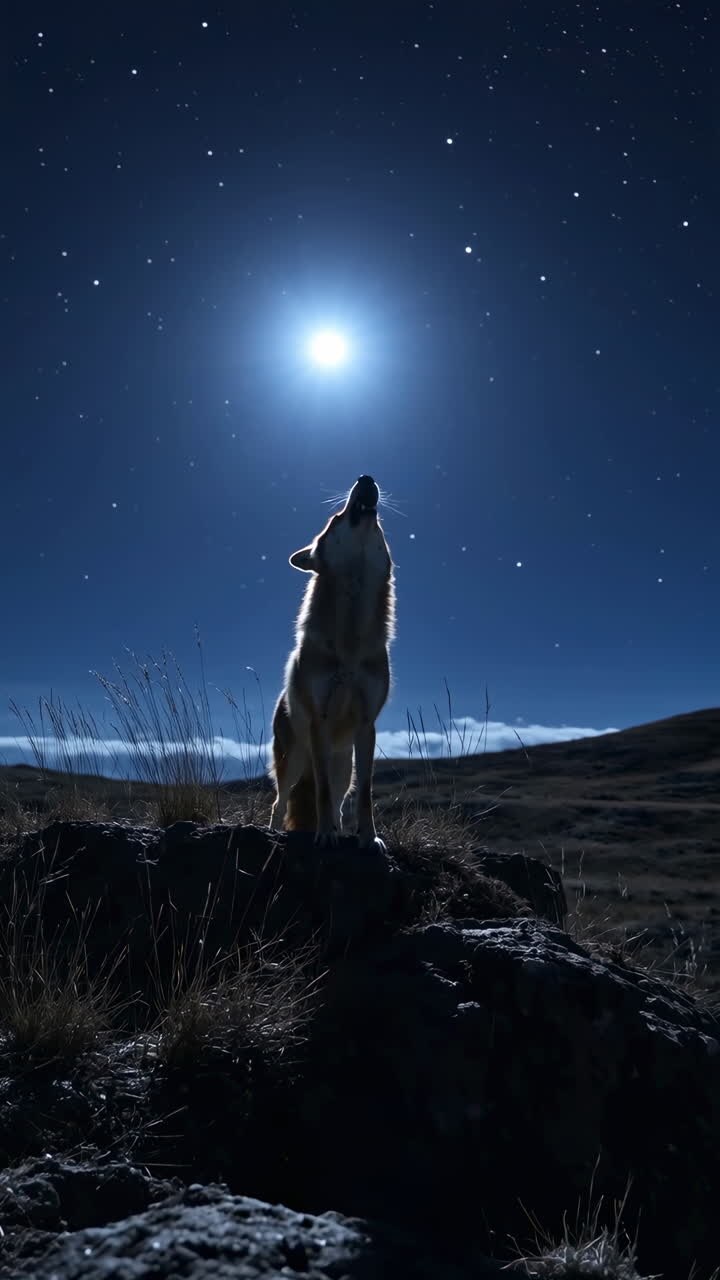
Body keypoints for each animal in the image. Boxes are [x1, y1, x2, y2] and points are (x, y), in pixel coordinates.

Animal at [269, 474, 395, 849]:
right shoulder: (319, 721)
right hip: (294, 760)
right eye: (336, 518)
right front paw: (323, 835)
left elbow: (365, 795)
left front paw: (369, 838)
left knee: (339, 800)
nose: (365, 478)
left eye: (381, 526)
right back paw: (275, 831)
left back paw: (340, 828)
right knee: (280, 802)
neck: (349, 647)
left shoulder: (367, 725)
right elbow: (321, 793)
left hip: (343, 765)